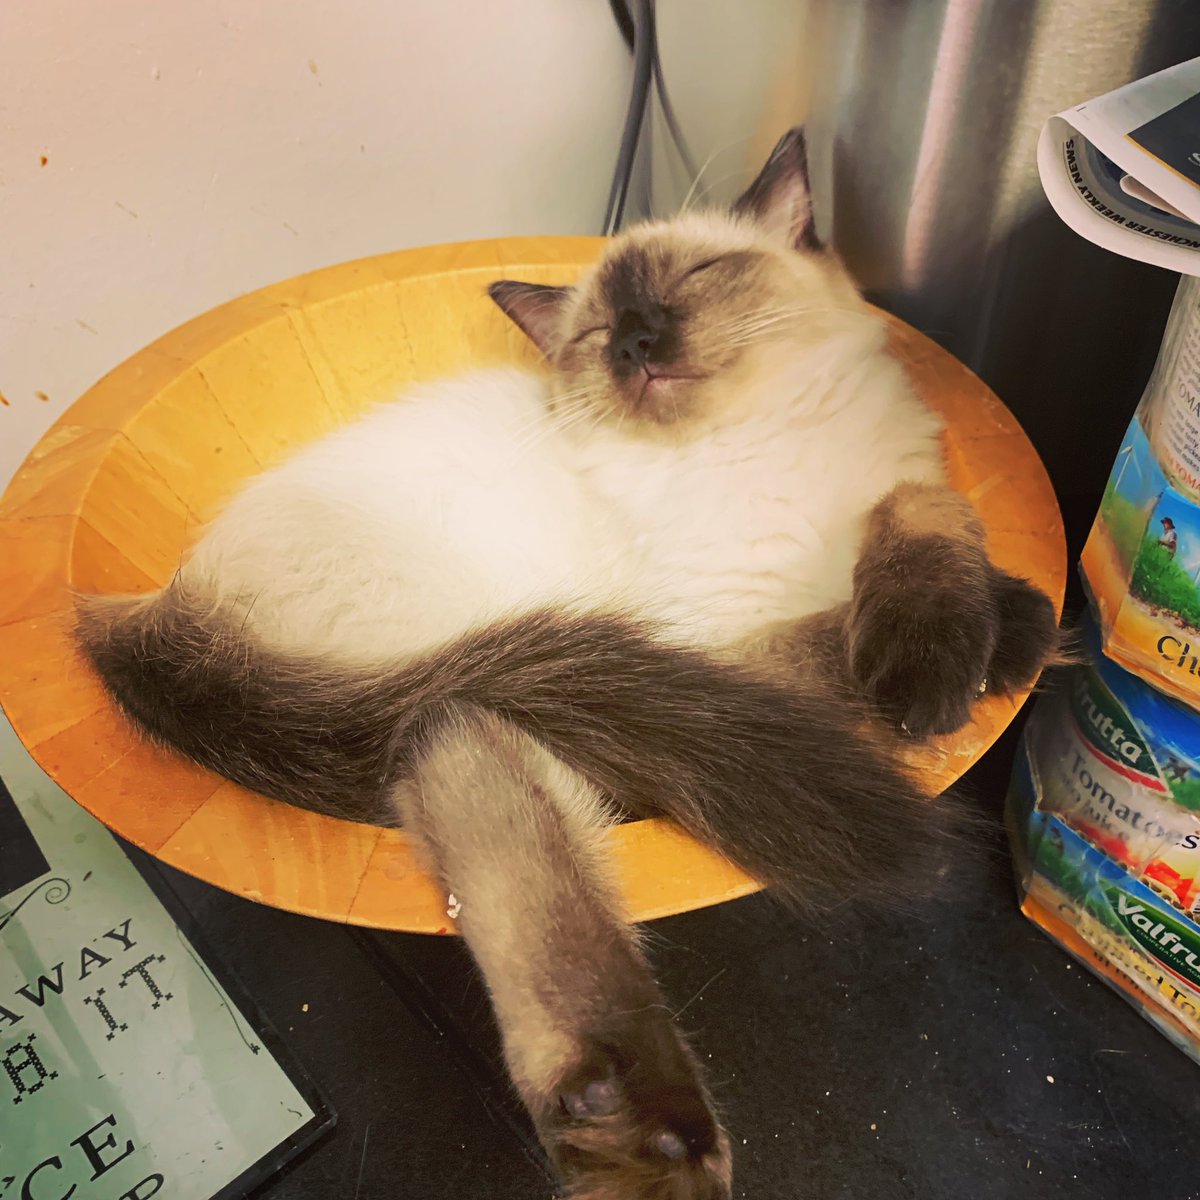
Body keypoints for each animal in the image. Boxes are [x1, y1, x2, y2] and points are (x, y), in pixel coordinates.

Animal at [77, 131, 1051, 1200]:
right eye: (596, 336)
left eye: (694, 279)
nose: (636, 343)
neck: (769, 449)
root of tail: (163, 612)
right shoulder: (717, 641)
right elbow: (842, 631)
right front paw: (983, 648)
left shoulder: (899, 493)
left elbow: (922, 512)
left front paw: (979, 630)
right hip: (530, 667)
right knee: (491, 798)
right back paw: (650, 1142)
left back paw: (623, 1130)